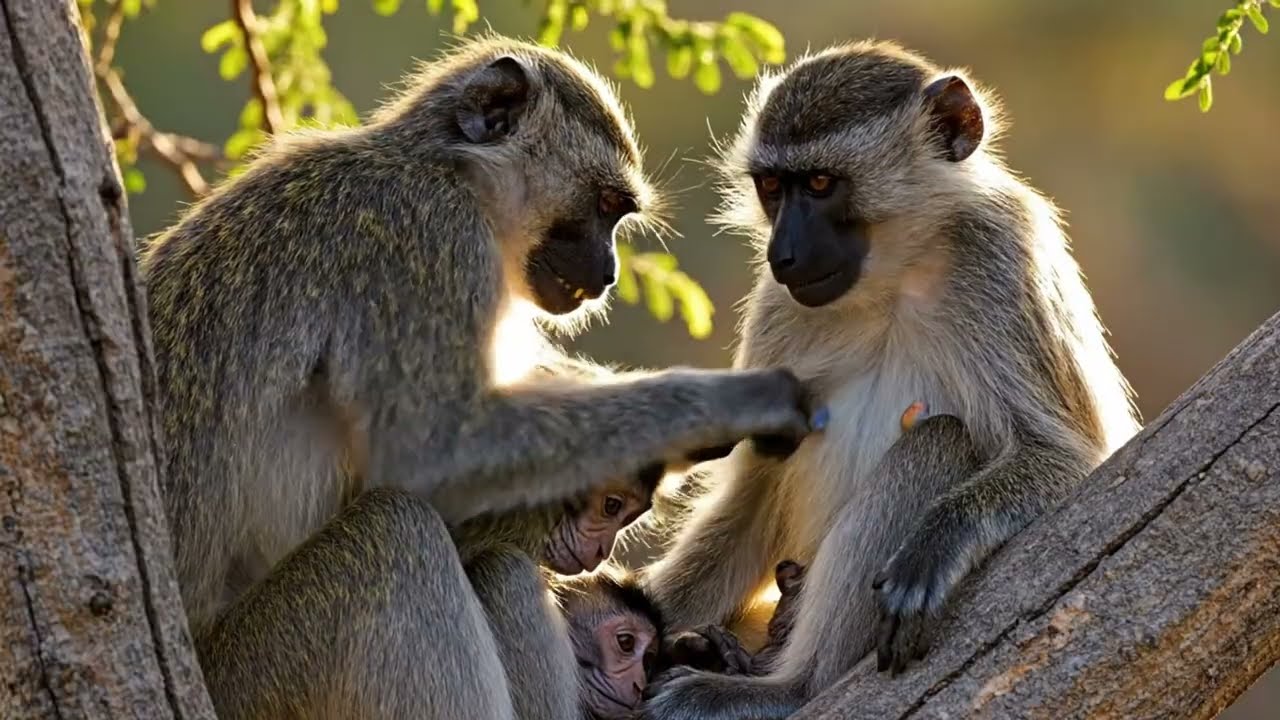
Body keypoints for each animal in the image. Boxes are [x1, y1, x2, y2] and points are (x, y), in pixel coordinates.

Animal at [140, 35, 814, 719]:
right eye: (603, 207)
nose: (608, 273)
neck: (445, 170)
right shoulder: (430, 238)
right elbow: (434, 451)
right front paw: (727, 404)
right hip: (253, 676)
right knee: (401, 535)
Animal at [635, 40, 1141, 719]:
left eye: (820, 184)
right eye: (772, 188)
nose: (782, 254)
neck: (892, 280)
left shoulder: (1000, 253)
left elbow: (1069, 460)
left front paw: (938, 543)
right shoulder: (777, 306)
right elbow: (755, 489)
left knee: (942, 438)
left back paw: (783, 687)